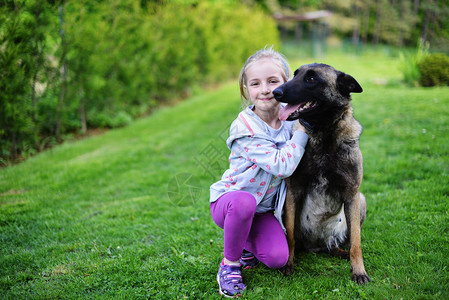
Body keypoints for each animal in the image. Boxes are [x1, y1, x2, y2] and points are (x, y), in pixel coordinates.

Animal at [272, 62, 370, 284]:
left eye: (312, 79)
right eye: (295, 75)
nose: (276, 92)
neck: (323, 131)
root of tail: (317, 245)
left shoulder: (352, 194)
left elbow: (356, 242)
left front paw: (359, 271)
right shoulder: (293, 192)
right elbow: (289, 236)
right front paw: (288, 264)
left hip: (361, 200)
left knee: (339, 243)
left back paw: (340, 252)